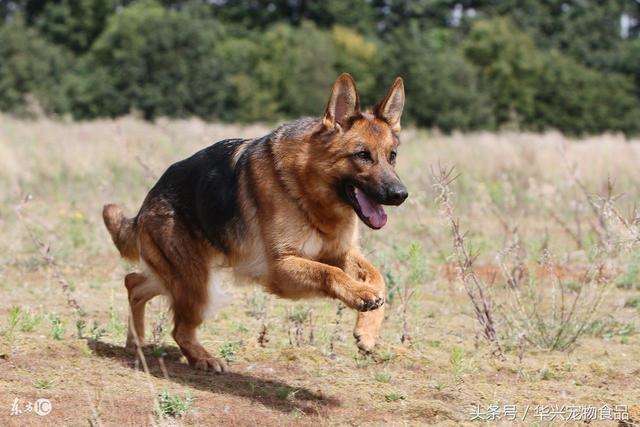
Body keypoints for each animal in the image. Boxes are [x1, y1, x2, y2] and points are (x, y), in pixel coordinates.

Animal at [102, 75, 408, 372]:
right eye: (362, 155)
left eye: (392, 156)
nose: (400, 194)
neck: (308, 189)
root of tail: (147, 202)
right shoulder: (282, 268)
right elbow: (330, 274)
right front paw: (361, 296)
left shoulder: (339, 252)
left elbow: (378, 278)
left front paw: (368, 330)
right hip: (196, 284)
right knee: (178, 328)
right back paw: (202, 358)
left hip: (182, 276)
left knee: (134, 283)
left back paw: (136, 342)